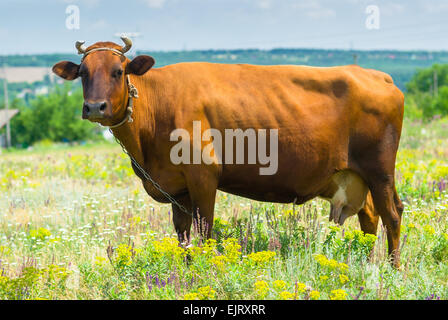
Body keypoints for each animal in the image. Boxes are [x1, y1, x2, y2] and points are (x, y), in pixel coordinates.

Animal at [53, 38, 406, 268]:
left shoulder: (203, 177)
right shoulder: (176, 188)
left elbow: (206, 231)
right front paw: (188, 270)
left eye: (119, 70)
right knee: (369, 217)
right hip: (356, 177)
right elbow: (183, 235)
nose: (94, 107)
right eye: (83, 72)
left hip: (380, 171)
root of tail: (378, 75)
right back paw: (364, 264)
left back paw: (393, 270)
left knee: (392, 214)